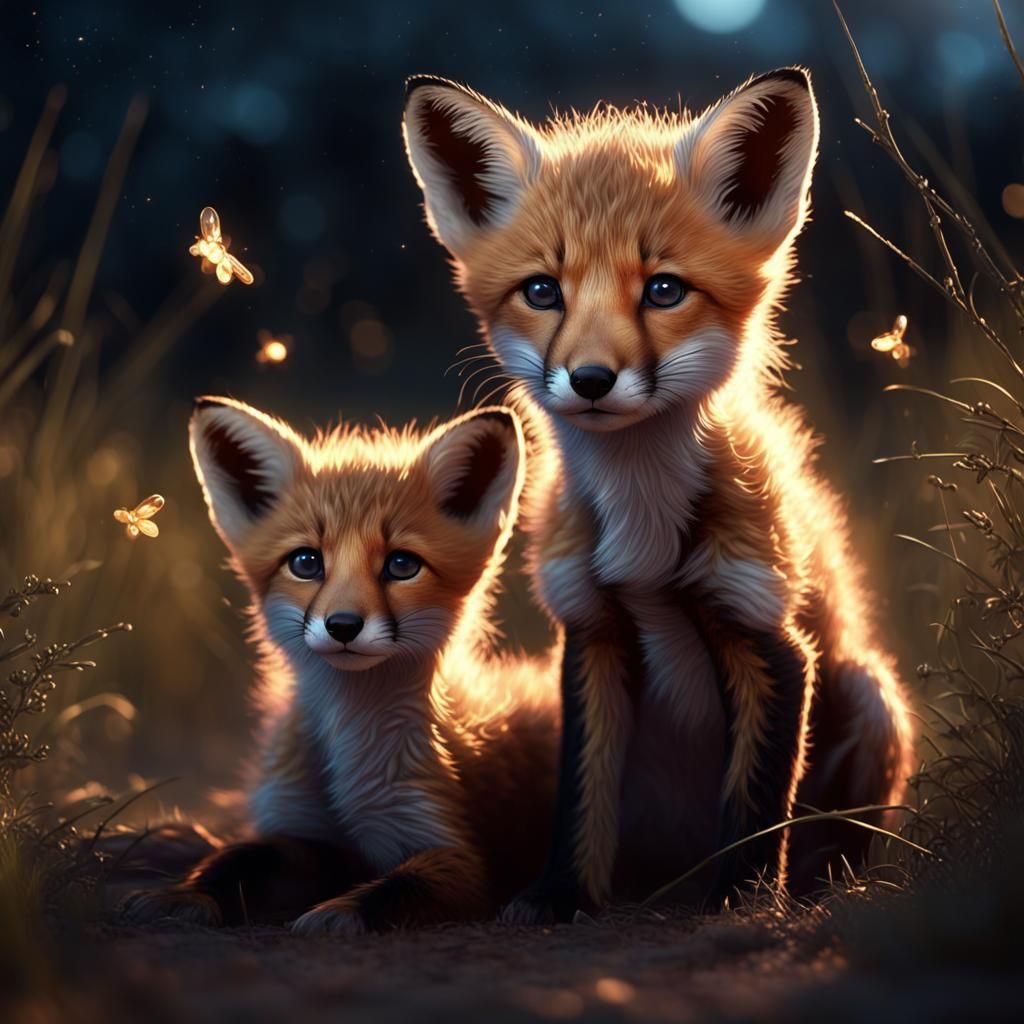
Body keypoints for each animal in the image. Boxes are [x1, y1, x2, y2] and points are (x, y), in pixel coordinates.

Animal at [122, 397, 559, 934]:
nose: (344, 625)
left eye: (401, 565)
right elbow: (234, 857)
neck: (344, 765)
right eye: (306, 562)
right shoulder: (304, 833)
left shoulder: (455, 851)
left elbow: (396, 887)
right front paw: (183, 893)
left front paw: (336, 914)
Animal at [402, 67, 915, 921]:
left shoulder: (765, 633)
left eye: (664, 290)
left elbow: (754, 810)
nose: (591, 379)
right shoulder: (591, 630)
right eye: (542, 291)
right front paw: (561, 898)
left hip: (872, 697)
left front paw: (742, 903)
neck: (642, 524)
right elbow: (582, 801)